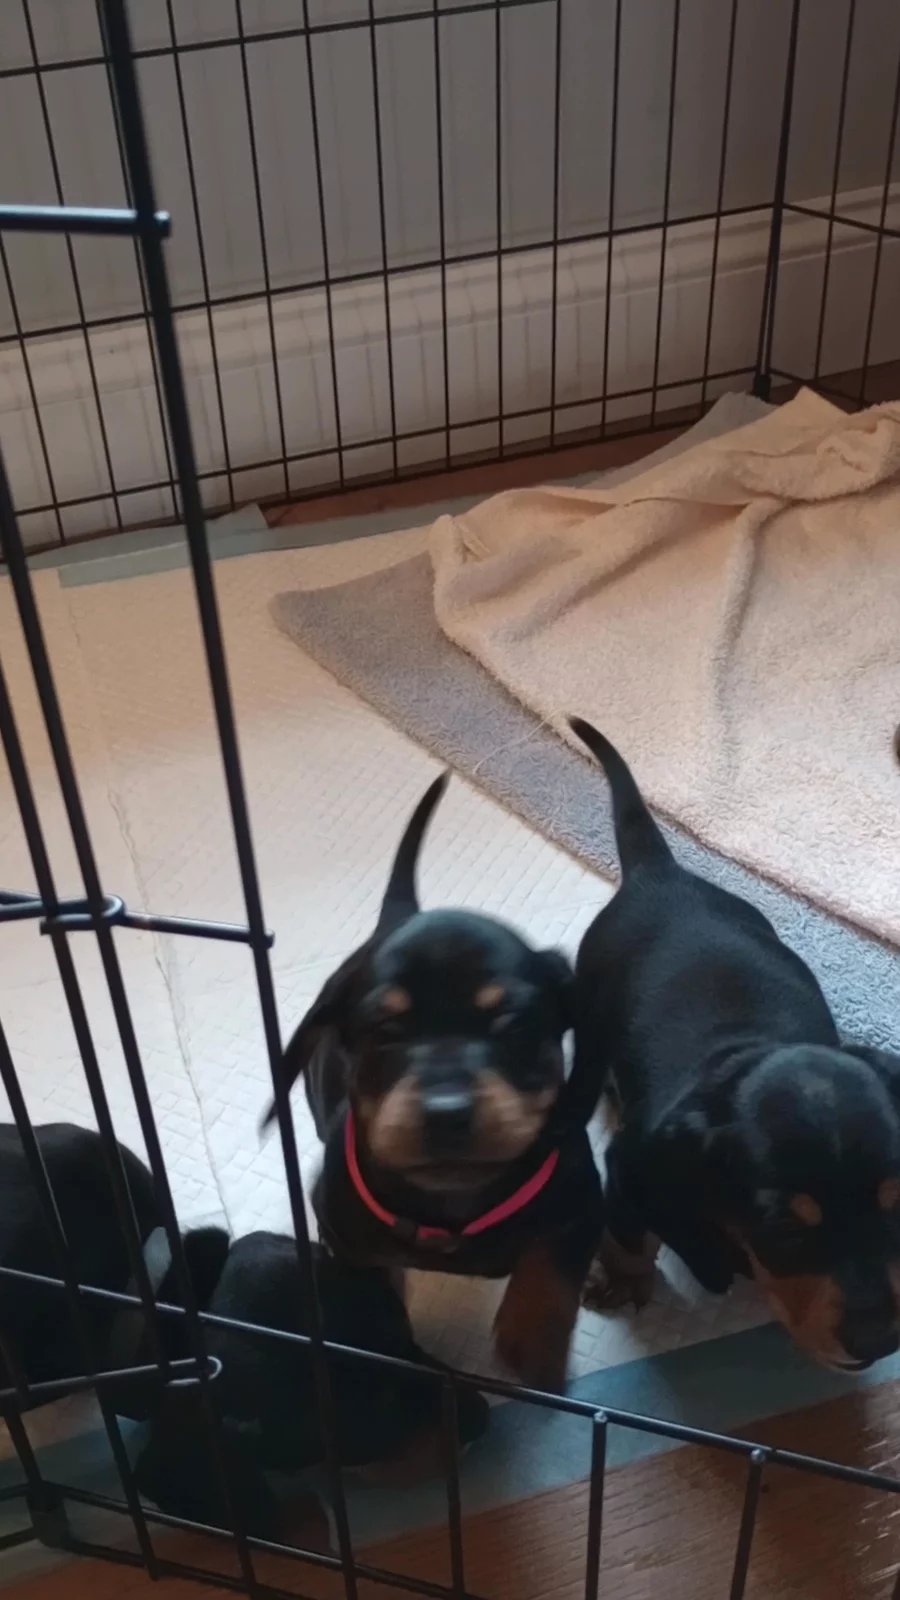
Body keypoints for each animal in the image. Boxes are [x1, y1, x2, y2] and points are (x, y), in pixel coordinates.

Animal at [270, 774, 604, 1391]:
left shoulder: (579, 1201)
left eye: (515, 1025)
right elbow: (372, 1292)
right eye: (384, 1030)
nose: (447, 1111)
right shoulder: (342, 1229)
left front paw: (532, 1348)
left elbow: (550, 1279)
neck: (455, 1206)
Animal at [567, 718, 900, 1372]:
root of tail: (659, 873)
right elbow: (631, 1233)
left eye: (898, 1204)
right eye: (784, 1230)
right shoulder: (631, 1167)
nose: (879, 1343)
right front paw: (622, 1279)